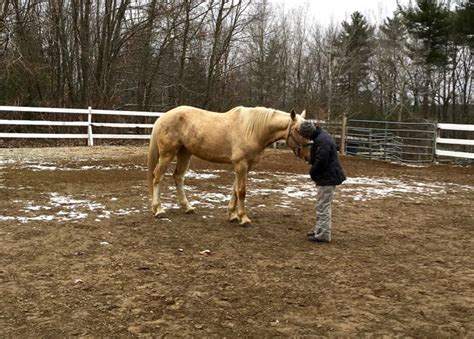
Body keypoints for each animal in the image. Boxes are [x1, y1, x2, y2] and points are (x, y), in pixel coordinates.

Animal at [147, 105, 312, 224]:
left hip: (185, 153)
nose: (309, 156)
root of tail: (162, 117)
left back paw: (187, 207)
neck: (253, 130)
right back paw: (159, 210)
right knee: (157, 177)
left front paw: (232, 215)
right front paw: (243, 218)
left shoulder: (246, 166)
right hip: (167, 154)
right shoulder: (241, 165)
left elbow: (235, 190)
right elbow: (241, 191)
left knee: (178, 177)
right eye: (299, 130)